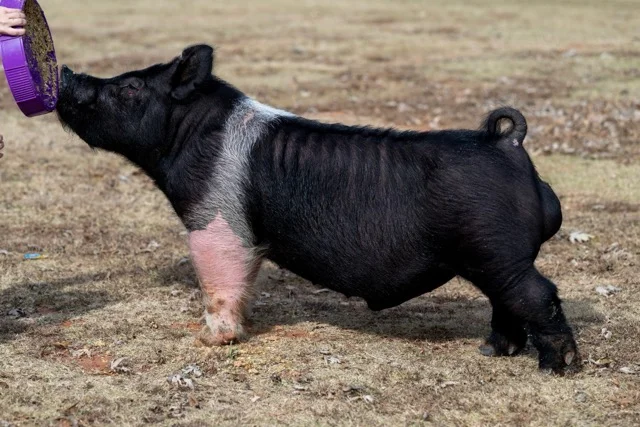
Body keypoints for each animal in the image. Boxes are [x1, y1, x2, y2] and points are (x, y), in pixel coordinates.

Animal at [56, 44, 578, 373]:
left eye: (129, 89)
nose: (66, 74)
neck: (188, 135)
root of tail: (507, 142)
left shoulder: (216, 220)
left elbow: (217, 281)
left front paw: (209, 340)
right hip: (493, 259)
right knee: (508, 302)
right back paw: (491, 351)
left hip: (496, 251)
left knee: (538, 295)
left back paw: (555, 367)